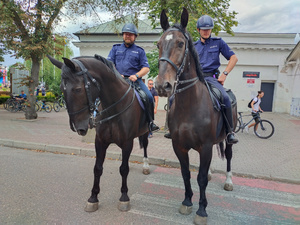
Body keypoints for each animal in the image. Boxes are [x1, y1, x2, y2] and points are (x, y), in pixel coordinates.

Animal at [48, 54, 151, 213]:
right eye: (61, 88)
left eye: (78, 89)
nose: (78, 127)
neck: (114, 108)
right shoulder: (100, 142)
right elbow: (97, 169)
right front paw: (93, 198)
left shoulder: (127, 142)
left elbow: (124, 169)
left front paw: (124, 197)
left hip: (145, 131)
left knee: (145, 146)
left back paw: (146, 166)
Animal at [155, 7, 237, 224]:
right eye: (158, 44)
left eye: (180, 43)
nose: (162, 85)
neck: (190, 105)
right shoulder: (179, 146)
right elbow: (186, 174)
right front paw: (187, 202)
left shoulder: (205, 147)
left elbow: (199, 178)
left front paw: (201, 210)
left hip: (229, 138)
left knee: (229, 157)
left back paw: (228, 181)